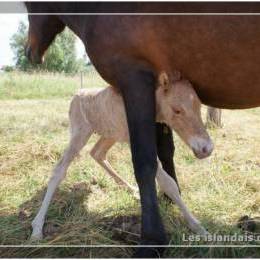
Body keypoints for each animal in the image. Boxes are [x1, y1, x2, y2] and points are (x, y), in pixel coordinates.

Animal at [31, 71, 213, 240]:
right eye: (177, 110)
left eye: (199, 106)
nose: (206, 149)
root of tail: (78, 92)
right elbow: (168, 183)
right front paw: (198, 228)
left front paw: (199, 228)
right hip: (80, 133)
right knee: (59, 169)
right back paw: (37, 227)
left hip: (110, 134)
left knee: (97, 153)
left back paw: (131, 189)